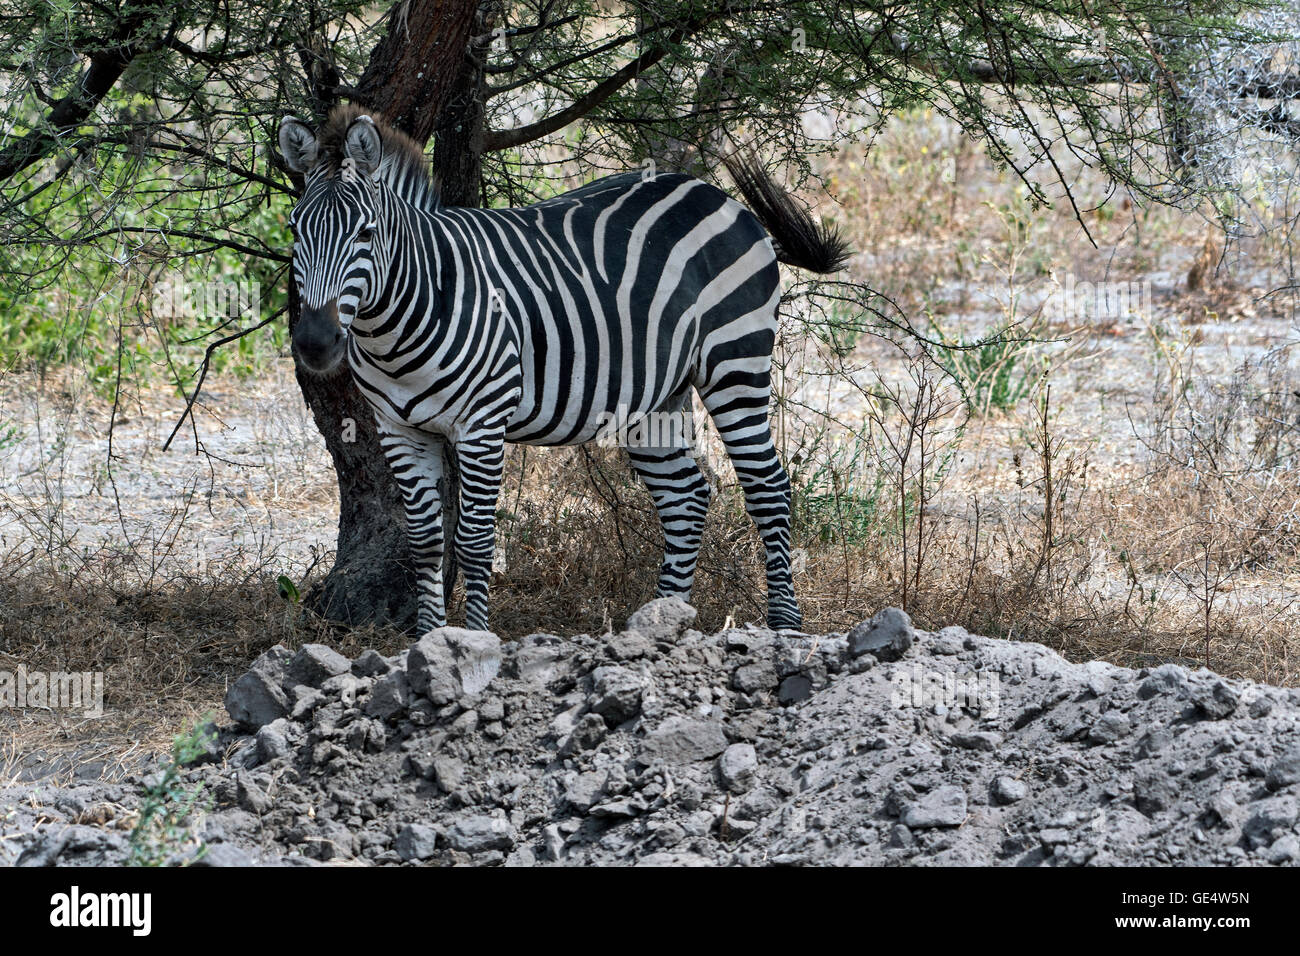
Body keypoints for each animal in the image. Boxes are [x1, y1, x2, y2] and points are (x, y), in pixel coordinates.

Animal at [278, 105, 849, 634]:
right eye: (294, 229)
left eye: (365, 233)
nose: (315, 342)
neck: (398, 326)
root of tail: (713, 193)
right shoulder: (399, 429)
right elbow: (424, 542)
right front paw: (428, 641)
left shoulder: (482, 423)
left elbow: (474, 539)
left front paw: (473, 641)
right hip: (653, 395)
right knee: (686, 496)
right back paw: (663, 619)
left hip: (735, 360)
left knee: (768, 486)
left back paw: (784, 624)